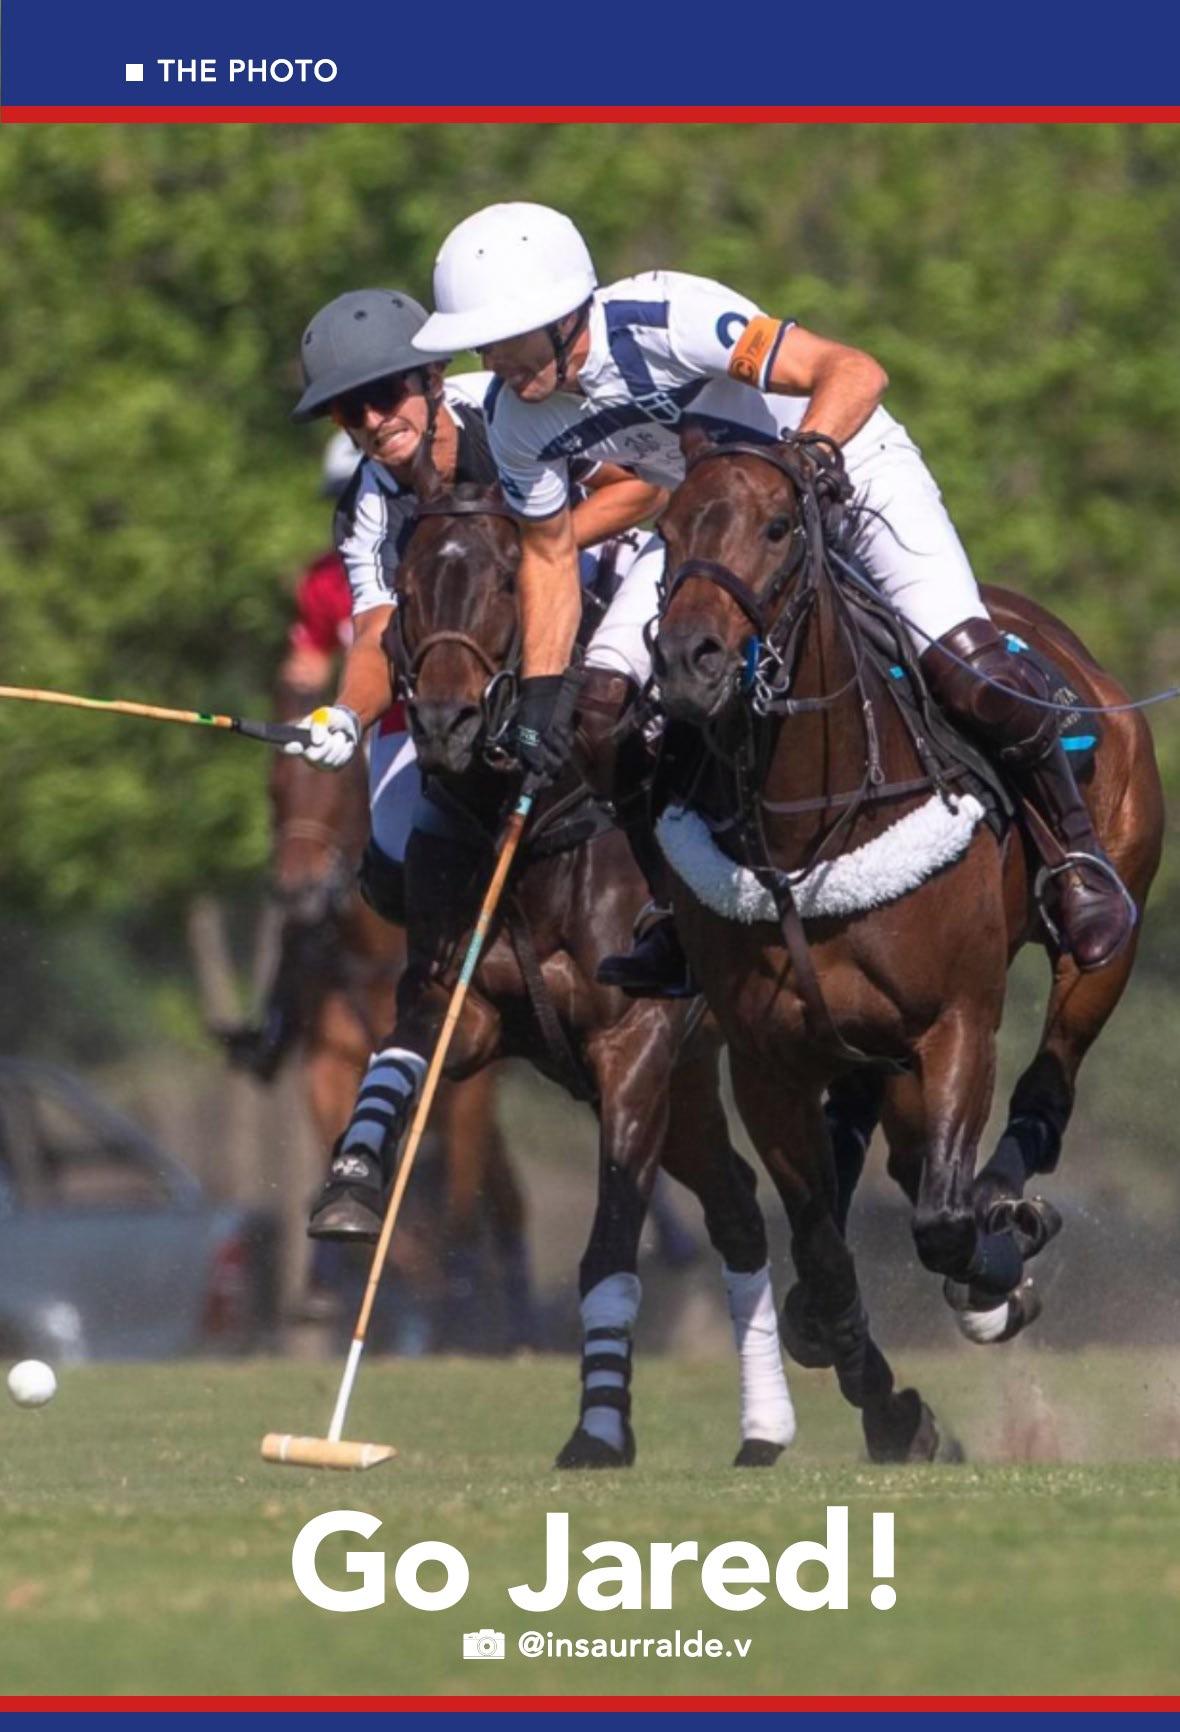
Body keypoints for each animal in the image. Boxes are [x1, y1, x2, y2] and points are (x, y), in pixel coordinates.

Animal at [371, 463, 795, 1469]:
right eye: (405, 583)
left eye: (503, 582)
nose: (444, 721)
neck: (528, 827)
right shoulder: (465, 1006)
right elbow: (403, 1062)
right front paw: (350, 1185)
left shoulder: (632, 1044)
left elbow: (608, 1249)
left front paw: (599, 1426)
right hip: (687, 1086)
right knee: (737, 1207)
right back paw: (774, 1427)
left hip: (690, 1064)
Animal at [652, 426, 1163, 1461]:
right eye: (669, 529)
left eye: (777, 526)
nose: (688, 660)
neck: (810, 825)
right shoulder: (765, 1058)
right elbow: (819, 1245)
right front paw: (891, 1405)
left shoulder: (953, 1021)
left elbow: (940, 1220)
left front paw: (997, 1262)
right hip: (857, 1043)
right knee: (873, 1148)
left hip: (1106, 932)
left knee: (1047, 1083)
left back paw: (1008, 1211)